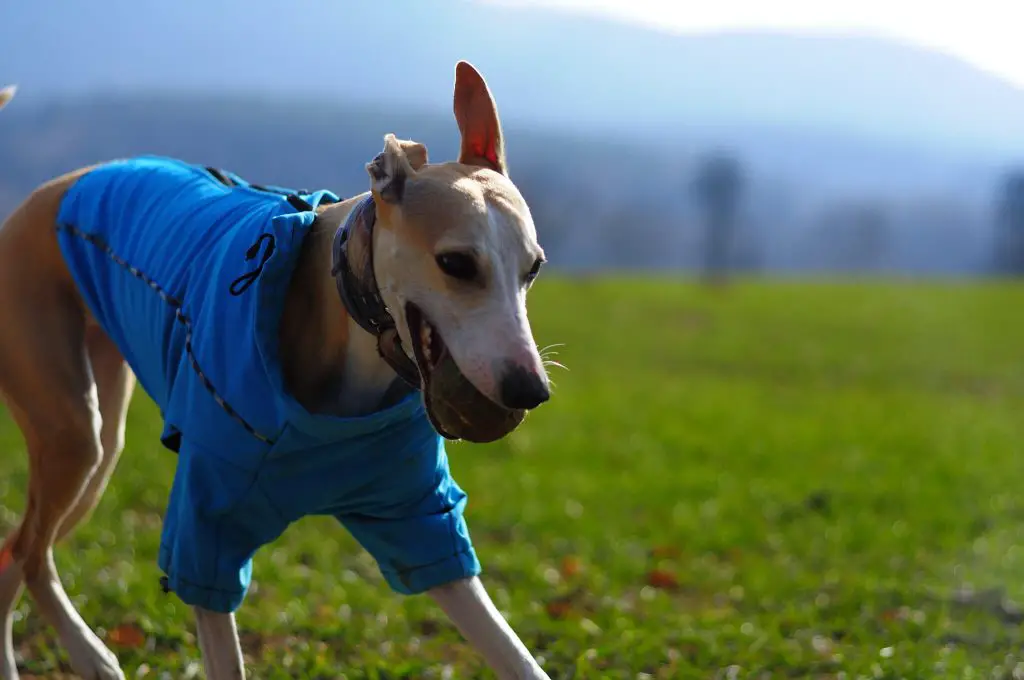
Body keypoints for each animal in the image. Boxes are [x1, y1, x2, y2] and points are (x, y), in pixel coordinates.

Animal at [0, 61, 552, 675]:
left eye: (533, 267)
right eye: (456, 263)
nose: (529, 389)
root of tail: (54, 188)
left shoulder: (417, 519)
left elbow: (513, 653)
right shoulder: (204, 529)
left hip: (97, 448)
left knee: (20, 549)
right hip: (69, 427)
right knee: (28, 552)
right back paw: (81, 653)